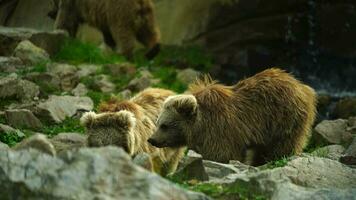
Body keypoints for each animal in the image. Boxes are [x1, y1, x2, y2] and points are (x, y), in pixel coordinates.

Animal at [147, 68, 318, 166]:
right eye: (158, 123)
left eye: (165, 125)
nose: (152, 139)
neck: (198, 126)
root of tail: (303, 86)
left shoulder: (220, 130)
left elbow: (221, 154)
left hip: (283, 117)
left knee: (282, 144)